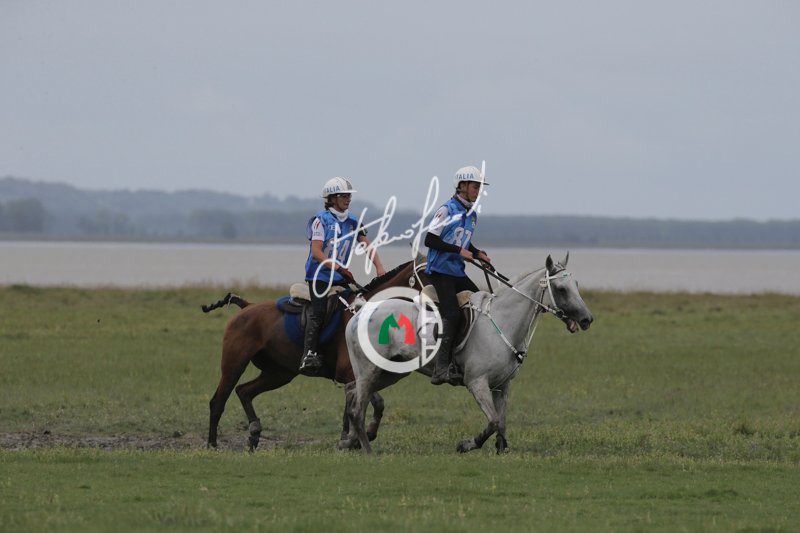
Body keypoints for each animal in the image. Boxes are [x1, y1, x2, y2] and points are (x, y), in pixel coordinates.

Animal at [202, 260, 427, 450]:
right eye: (428, 274)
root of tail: (247, 306)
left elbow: (367, 405)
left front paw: (356, 438)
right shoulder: (349, 373)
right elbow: (362, 404)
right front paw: (352, 438)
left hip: (279, 373)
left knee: (244, 391)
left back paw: (254, 434)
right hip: (235, 363)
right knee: (218, 401)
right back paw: (212, 444)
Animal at [341, 253, 594, 453]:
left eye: (576, 284)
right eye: (561, 289)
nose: (587, 319)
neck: (503, 322)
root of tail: (360, 311)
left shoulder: (502, 386)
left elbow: (501, 422)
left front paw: (501, 449)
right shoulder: (477, 383)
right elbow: (493, 421)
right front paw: (466, 445)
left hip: (390, 372)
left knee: (354, 395)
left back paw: (351, 441)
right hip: (369, 371)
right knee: (357, 408)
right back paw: (367, 450)